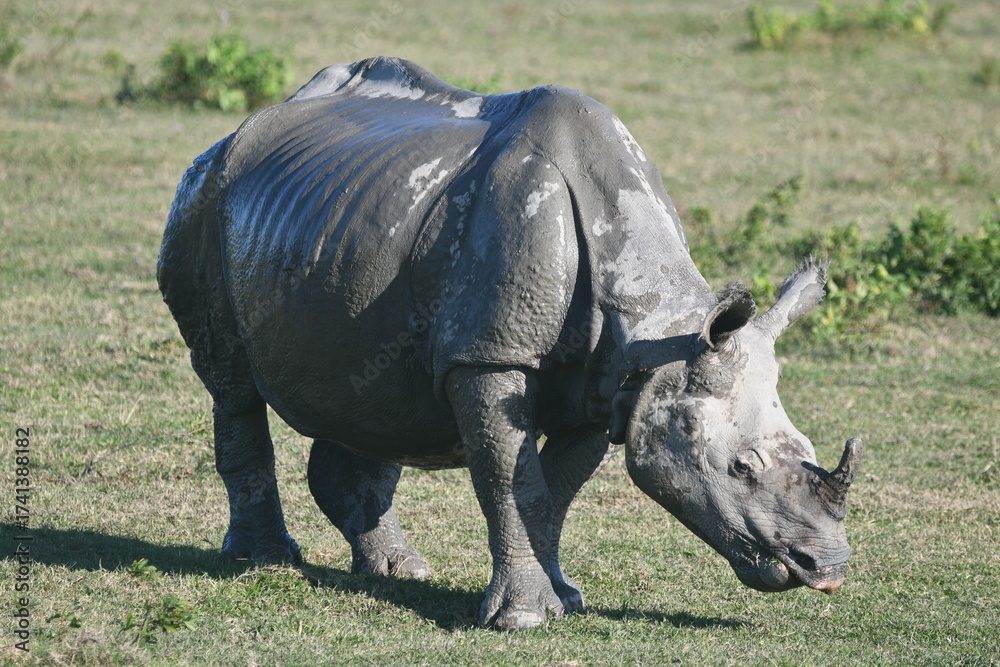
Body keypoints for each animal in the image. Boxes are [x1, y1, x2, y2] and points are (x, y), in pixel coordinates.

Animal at [158, 56, 862, 630]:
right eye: (741, 468)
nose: (826, 568)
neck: (656, 329)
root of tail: (249, 125)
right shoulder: (489, 356)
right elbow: (510, 477)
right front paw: (522, 619)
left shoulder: (608, 387)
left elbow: (552, 489)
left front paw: (563, 599)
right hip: (203, 198)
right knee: (230, 379)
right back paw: (265, 562)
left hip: (337, 222)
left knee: (371, 397)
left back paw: (398, 570)